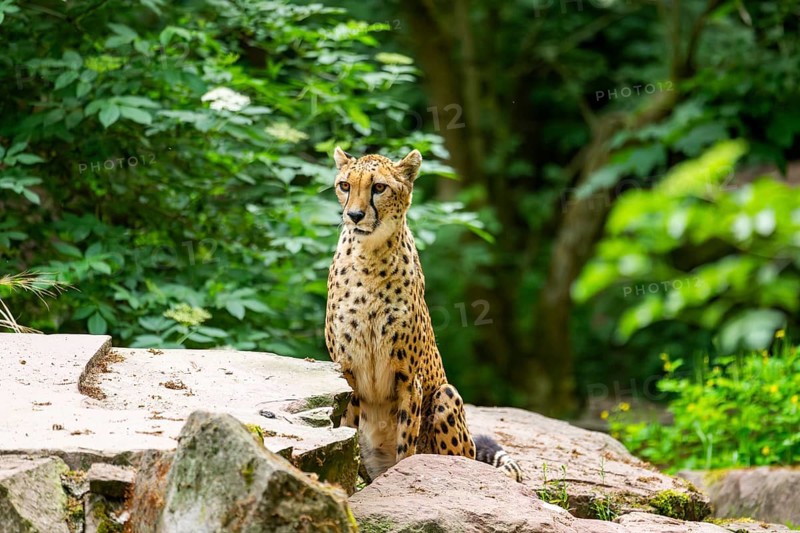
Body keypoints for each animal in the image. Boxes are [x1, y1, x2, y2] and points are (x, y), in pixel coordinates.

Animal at [324, 146, 522, 483]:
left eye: (379, 187)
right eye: (345, 185)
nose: (354, 216)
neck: (369, 257)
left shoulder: (409, 378)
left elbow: (407, 446)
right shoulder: (345, 369)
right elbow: (345, 433)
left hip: (446, 395)